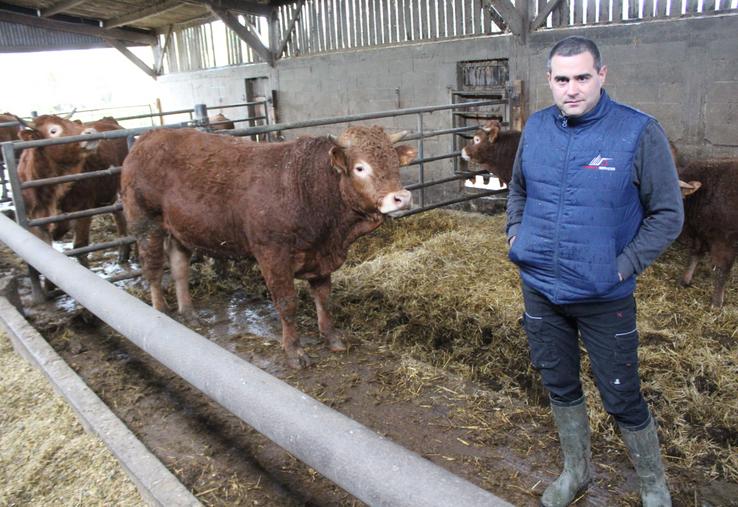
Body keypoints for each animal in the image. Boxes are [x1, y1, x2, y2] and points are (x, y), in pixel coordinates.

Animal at [121, 125, 414, 368]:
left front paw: (332, 337)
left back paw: (189, 313)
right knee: (153, 270)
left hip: (180, 231)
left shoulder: (320, 256)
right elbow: (287, 304)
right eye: (360, 168)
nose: (401, 198)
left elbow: (323, 298)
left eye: (394, 162)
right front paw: (295, 351)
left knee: (180, 268)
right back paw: (161, 311)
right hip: (145, 223)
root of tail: (147, 137)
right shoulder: (273, 255)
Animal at [676, 159, 732, 308]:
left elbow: (721, 269)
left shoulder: (725, 242)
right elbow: (695, 254)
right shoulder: (701, 234)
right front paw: (685, 280)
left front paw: (717, 302)